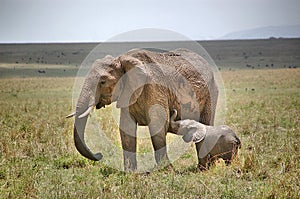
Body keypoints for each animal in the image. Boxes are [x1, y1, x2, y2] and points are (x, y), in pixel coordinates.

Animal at [67, 48, 218, 171]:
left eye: (103, 82)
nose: (99, 155)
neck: (122, 60)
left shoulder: (155, 89)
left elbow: (158, 125)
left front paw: (167, 171)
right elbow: (126, 129)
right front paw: (130, 173)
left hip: (211, 93)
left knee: (206, 124)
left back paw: (203, 169)